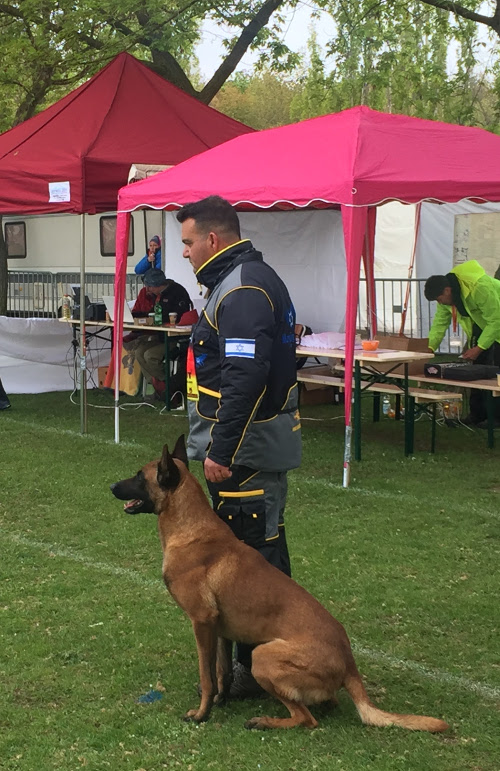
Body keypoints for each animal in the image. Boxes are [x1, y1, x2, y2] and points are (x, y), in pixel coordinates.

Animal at [110, 438, 450, 732]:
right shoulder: (220, 631)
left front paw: (201, 714)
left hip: (263, 657)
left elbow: (207, 676)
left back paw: (265, 721)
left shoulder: (202, 623)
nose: (111, 486)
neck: (190, 528)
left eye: (139, 476)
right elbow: (221, 672)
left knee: (306, 719)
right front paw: (220, 701)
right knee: (324, 706)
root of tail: (350, 665)